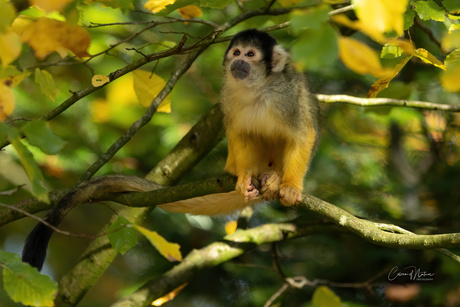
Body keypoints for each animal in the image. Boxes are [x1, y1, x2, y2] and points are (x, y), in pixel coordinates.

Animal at [22, 28, 320, 270]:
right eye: (237, 52)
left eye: (251, 54)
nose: (239, 62)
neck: (257, 89)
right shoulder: (228, 96)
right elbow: (240, 133)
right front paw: (247, 176)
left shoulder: (288, 95)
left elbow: (303, 134)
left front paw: (290, 186)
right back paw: (249, 175)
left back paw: (274, 178)